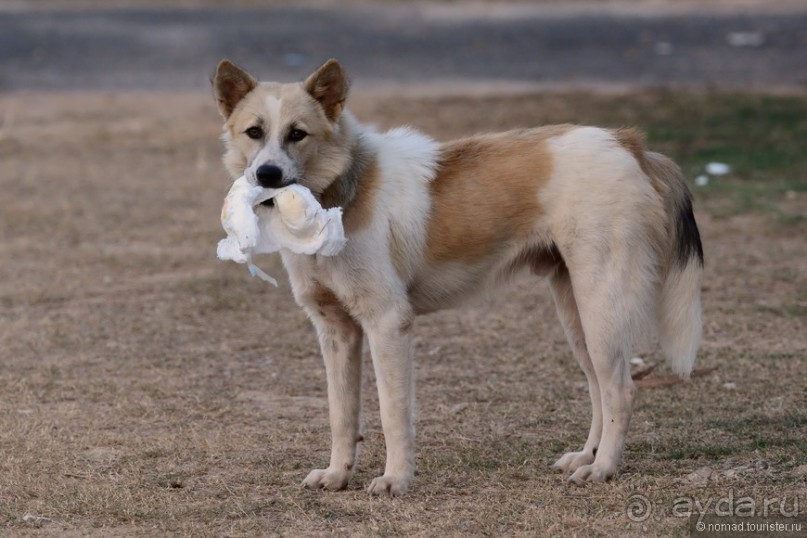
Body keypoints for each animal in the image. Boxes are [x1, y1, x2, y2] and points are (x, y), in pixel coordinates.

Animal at [211, 58, 704, 494]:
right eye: (254, 132)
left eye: (297, 134)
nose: (267, 174)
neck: (339, 194)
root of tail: (629, 144)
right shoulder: (336, 332)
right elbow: (341, 416)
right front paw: (337, 475)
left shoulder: (388, 325)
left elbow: (393, 414)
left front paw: (396, 480)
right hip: (578, 316)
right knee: (599, 387)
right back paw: (587, 456)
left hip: (601, 309)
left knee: (620, 390)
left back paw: (602, 469)